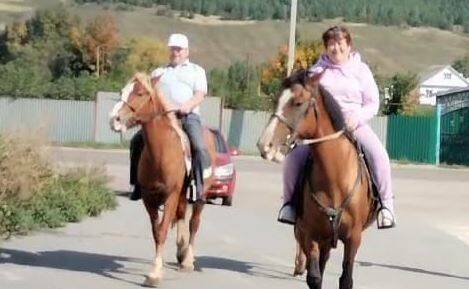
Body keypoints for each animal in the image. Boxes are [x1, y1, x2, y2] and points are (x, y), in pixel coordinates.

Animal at [110, 72, 217, 286]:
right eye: (121, 91)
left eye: (140, 93)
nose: (114, 120)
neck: (161, 152)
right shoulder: (149, 198)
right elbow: (157, 232)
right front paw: (155, 270)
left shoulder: (170, 196)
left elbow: (164, 230)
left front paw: (155, 273)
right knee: (182, 217)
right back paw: (181, 252)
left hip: (199, 197)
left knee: (194, 224)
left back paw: (188, 260)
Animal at [256, 70, 376, 288]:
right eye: (277, 99)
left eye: (298, 102)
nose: (264, 144)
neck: (335, 180)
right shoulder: (310, 233)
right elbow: (314, 277)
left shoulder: (354, 238)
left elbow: (346, 279)